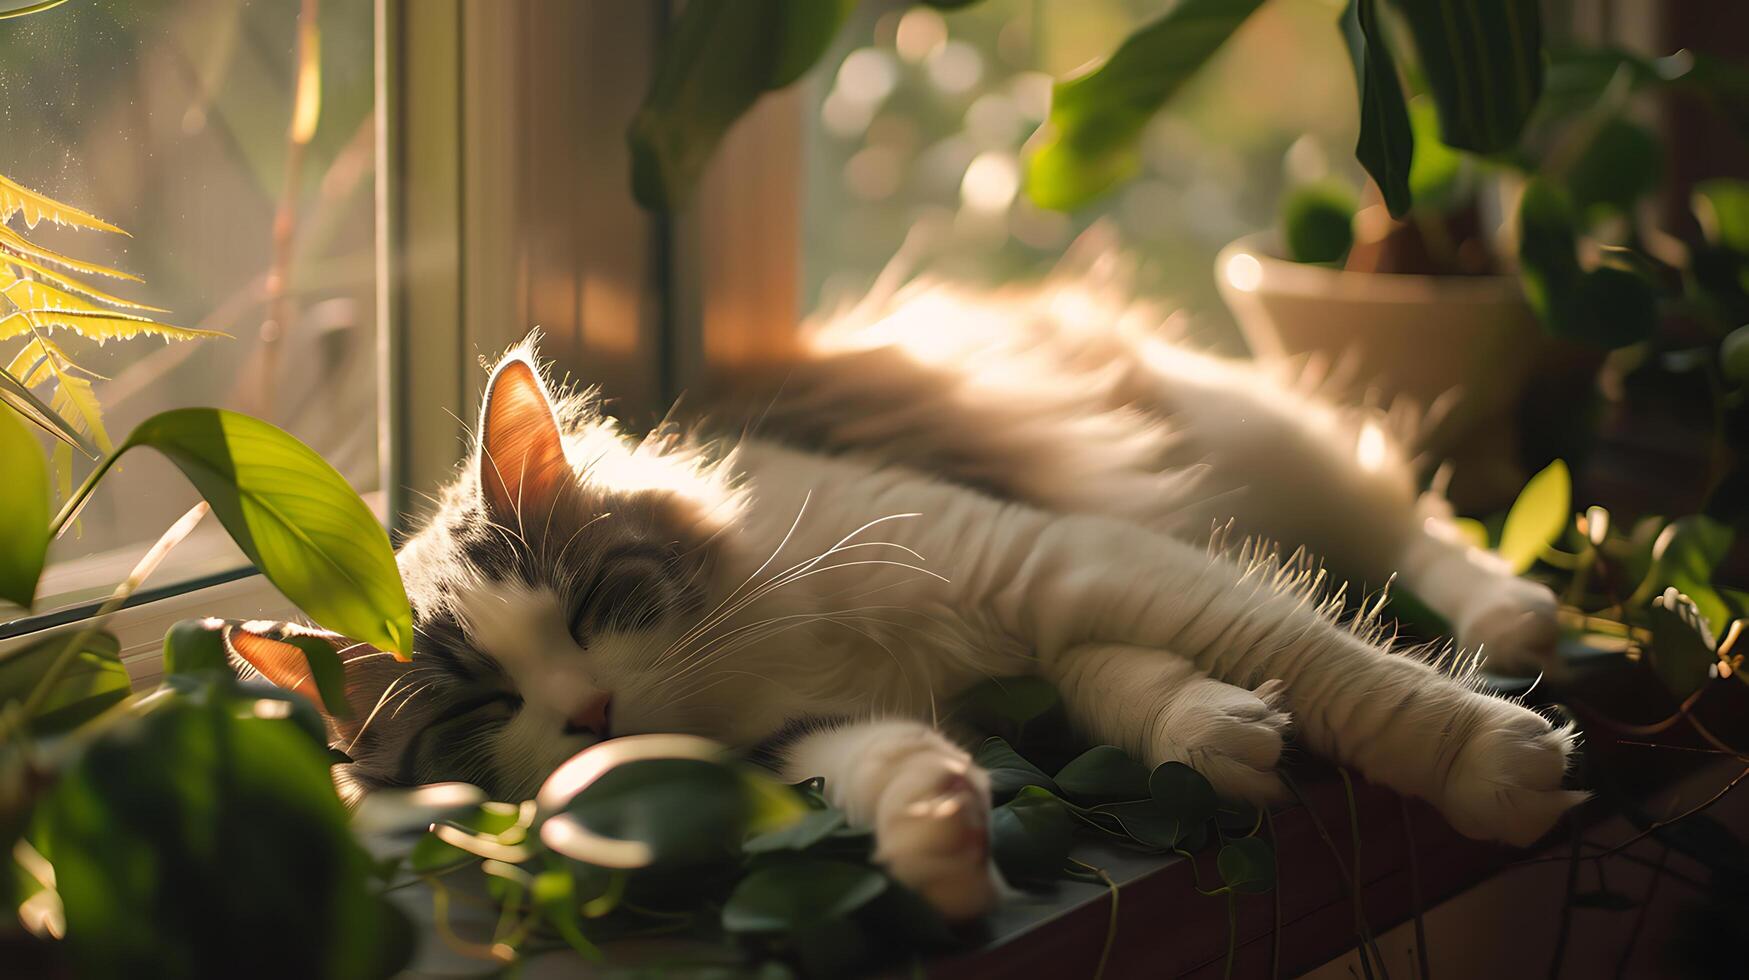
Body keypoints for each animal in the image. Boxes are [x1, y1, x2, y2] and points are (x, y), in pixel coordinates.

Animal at [232, 260, 1588, 917]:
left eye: (585, 610)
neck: (755, 664)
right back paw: (1214, 728)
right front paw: (941, 841)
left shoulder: (1058, 556)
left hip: (1258, 456)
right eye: (482, 710)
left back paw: (1514, 618)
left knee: (1407, 516)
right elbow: (876, 765)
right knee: (1129, 679)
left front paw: (1493, 764)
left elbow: (1353, 675)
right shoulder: (803, 735)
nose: (590, 714)